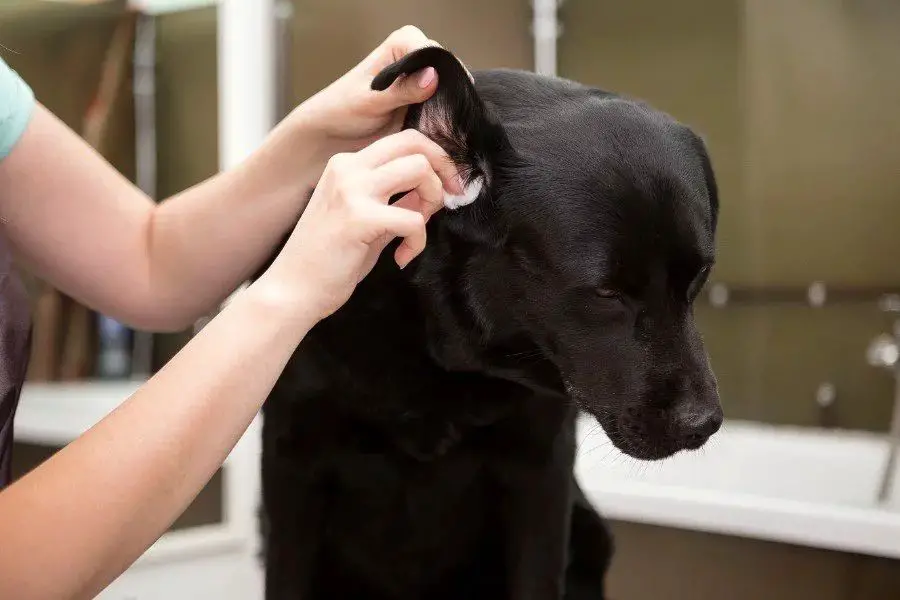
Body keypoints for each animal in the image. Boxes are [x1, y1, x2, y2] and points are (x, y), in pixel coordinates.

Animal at [256, 45, 720, 600]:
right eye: (607, 293)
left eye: (701, 275)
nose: (704, 424)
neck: (440, 352)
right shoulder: (291, 470)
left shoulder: (541, 473)